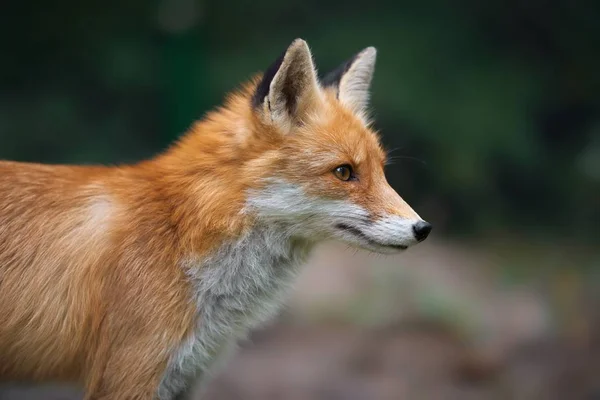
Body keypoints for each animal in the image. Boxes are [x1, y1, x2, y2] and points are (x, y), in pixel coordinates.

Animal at [0, 38, 432, 400]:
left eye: (382, 171)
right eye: (344, 172)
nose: (423, 229)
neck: (180, 233)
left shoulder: (184, 377)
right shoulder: (128, 376)